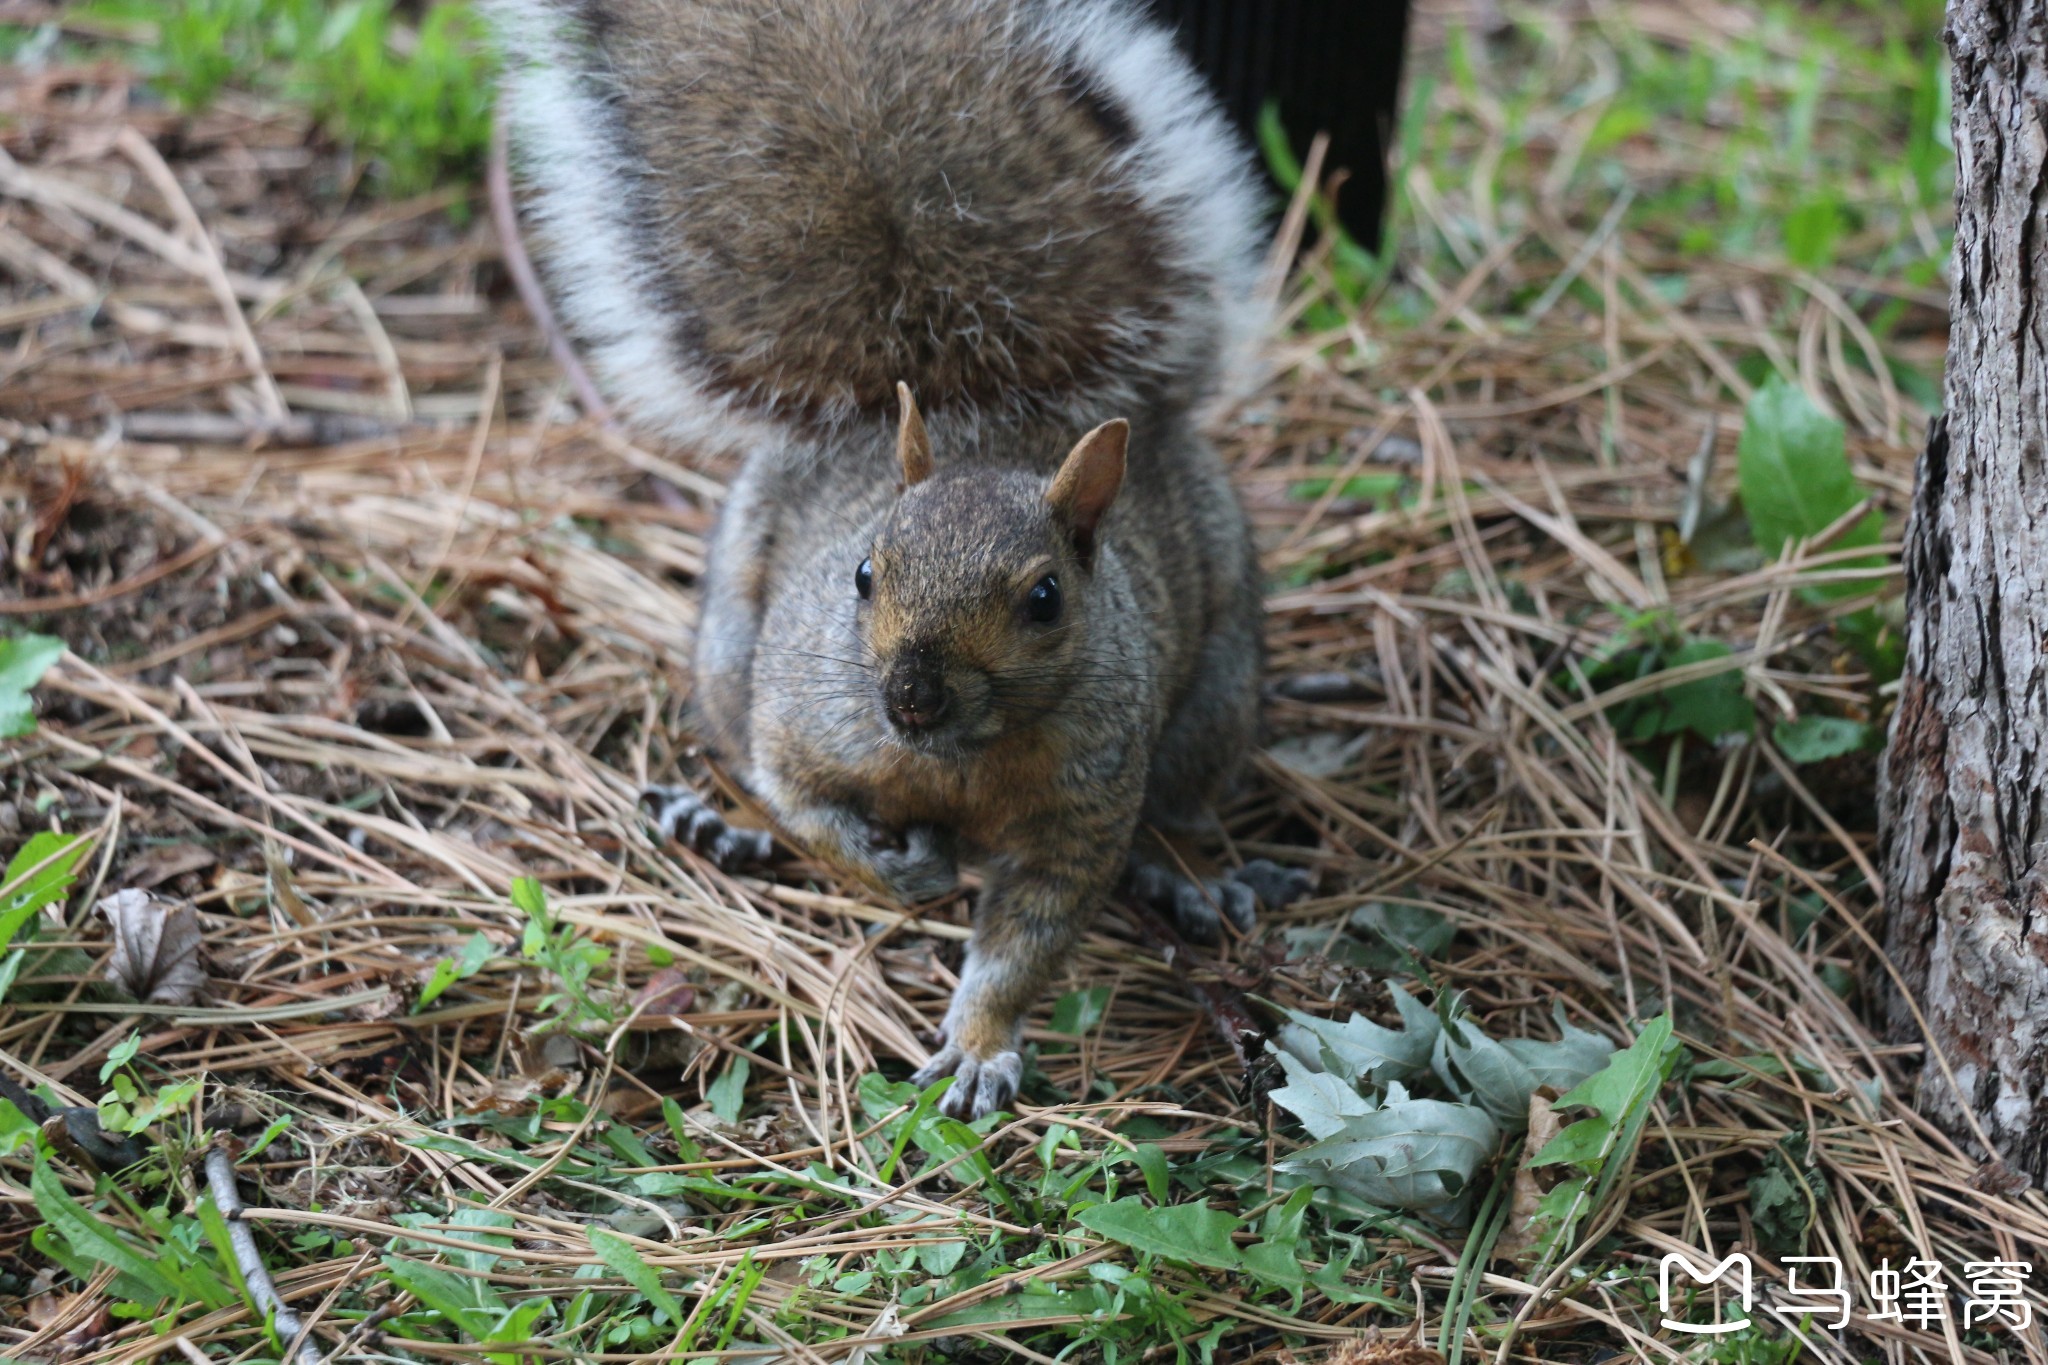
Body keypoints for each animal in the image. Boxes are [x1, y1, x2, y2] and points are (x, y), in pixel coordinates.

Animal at [487, 0, 1302, 1113]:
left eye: (1046, 598)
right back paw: (719, 822)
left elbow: (1031, 933)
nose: (909, 696)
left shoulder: (1082, 803)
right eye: (864, 573)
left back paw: (1190, 877)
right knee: (741, 756)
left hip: (1212, 699)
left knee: (1179, 801)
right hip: (728, 647)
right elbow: (800, 799)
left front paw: (978, 1043)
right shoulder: (805, 711)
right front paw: (892, 871)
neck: (955, 763)